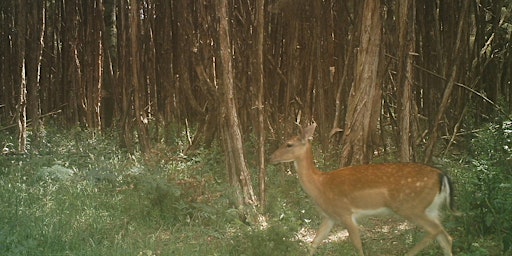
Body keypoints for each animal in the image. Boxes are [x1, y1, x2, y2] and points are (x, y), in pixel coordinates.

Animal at [270, 123, 458, 255]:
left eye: (289, 144)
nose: (271, 157)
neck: (320, 185)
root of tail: (441, 175)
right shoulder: (330, 216)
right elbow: (314, 243)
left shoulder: (346, 213)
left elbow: (358, 247)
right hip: (430, 208)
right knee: (446, 237)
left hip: (411, 206)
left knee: (436, 231)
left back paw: (408, 253)